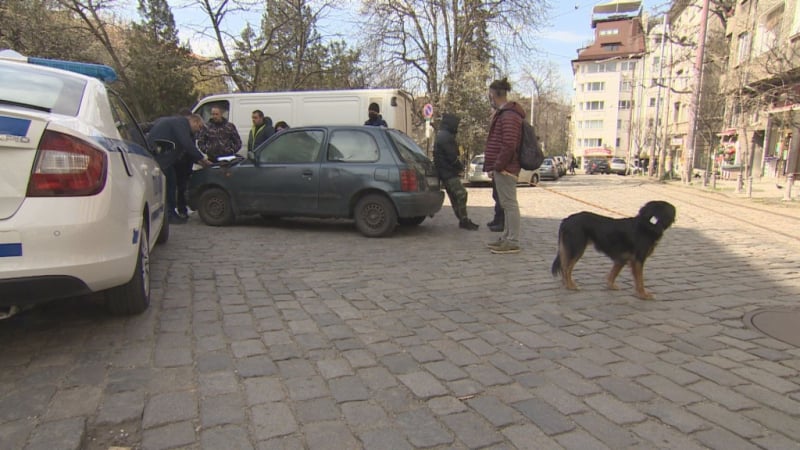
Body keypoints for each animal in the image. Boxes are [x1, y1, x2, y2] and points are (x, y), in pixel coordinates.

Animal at [552, 200, 680, 298]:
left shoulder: (621, 259)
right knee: (566, 268)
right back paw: (570, 286)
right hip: (577, 248)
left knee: (564, 267)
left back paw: (566, 284)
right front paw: (643, 294)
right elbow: (640, 280)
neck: (648, 225)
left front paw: (611, 286)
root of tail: (566, 220)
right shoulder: (638, 260)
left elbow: (613, 274)